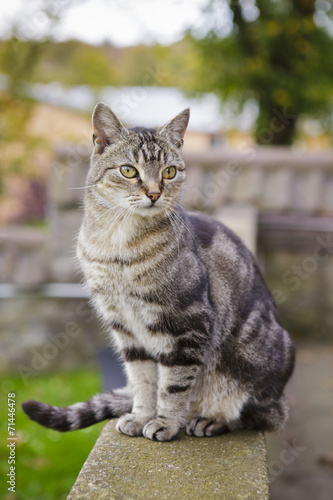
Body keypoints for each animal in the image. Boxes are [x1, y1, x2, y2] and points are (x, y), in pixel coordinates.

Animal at [22, 102, 294, 442]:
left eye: (169, 172)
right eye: (128, 170)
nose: (154, 193)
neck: (118, 245)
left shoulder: (186, 324)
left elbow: (173, 384)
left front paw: (165, 422)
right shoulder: (125, 327)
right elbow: (143, 381)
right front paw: (140, 417)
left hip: (253, 366)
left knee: (260, 414)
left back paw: (210, 419)